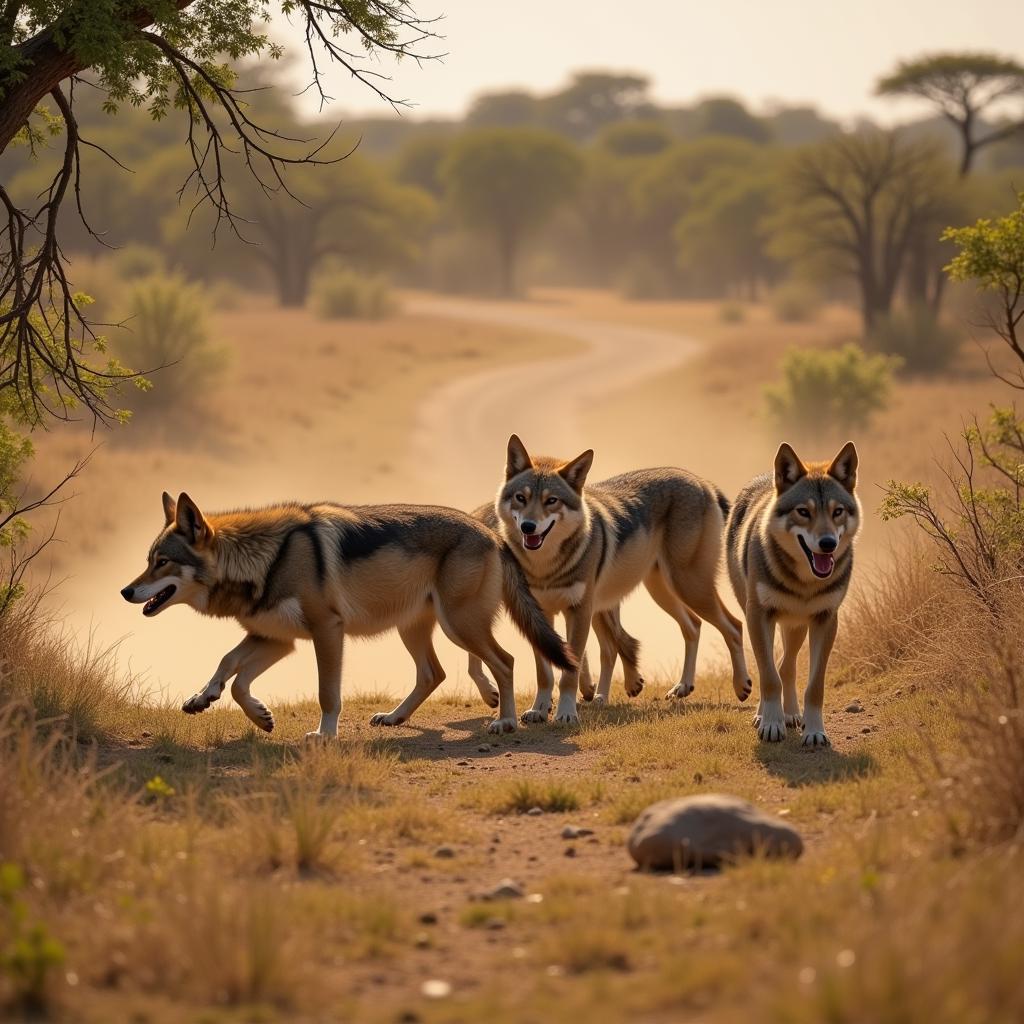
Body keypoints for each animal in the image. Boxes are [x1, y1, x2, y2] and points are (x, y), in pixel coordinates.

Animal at [119, 493, 577, 741]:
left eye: (162, 562)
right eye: (148, 560)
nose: (125, 592)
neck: (268, 560)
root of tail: (495, 534)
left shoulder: (326, 631)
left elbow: (327, 694)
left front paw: (324, 735)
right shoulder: (277, 639)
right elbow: (230, 671)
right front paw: (225, 705)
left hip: (458, 626)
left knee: (505, 662)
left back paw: (506, 722)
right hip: (415, 630)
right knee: (434, 674)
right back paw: (394, 717)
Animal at [468, 436, 749, 724]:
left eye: (552, 500)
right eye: (521, 498)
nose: (528, 526)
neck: (546, 568)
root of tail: (702, 481)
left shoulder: (579, 611)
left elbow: (570, 672)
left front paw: (566, 713)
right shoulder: (539, 615)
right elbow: (544, 672)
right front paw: (538, 709)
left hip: (688, 586)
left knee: (734, 625)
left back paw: (742, 687)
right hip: (663, 591)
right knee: (693, 626)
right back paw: (682, 687)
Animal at [724, 438, 860, 745]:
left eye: (837, 511)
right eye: (803, 511)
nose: (828, 543)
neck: (805, 583)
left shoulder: (826, 619)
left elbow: (814, 685)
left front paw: (815, 731)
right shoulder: (759, 614)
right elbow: (768, 677)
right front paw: (771, 725)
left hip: (796, 625)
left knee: (786, 665)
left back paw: (792, 715)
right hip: (759, 616)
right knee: (771, 667)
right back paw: (765, 716)